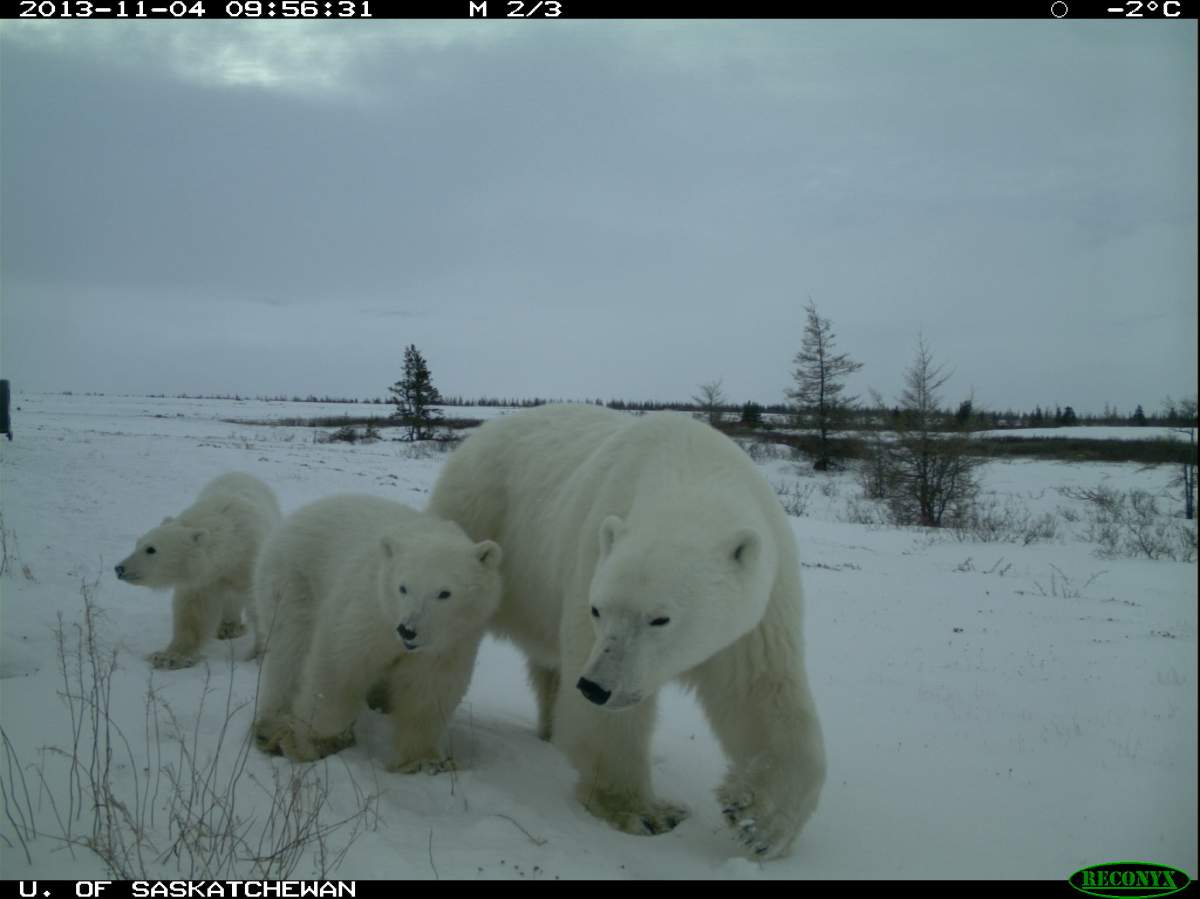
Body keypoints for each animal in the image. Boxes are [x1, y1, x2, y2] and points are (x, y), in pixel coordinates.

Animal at [115, 471, 282, 670]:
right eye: (138, 543)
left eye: (151, 549)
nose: (119, 568)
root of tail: (241, 473)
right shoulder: (204, 578)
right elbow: (193, 612)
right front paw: (169, 657)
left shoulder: (250, 560)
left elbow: (259, 603)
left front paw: (260, 655)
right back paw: (227, 627)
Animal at [251, 493, 503, 772]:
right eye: (403, 587)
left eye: (444, 593)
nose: (408, 630)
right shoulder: (369, 610)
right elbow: (339, 667)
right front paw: (315, 740)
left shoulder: (451, 642)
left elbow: (427, 690)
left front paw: (424, 761)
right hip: (293, 581)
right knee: (290, 650)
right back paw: (271, 726)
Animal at [427, 404, 826, 860]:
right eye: (598, 609)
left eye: (660, 618)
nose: (595, 687)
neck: (689, 469)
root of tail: (480, 433)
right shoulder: (592, 556)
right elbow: (609, 721)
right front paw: (645, 813)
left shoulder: (760, 604)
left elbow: (761, 693)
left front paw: (757, 820)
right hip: (478, 523)